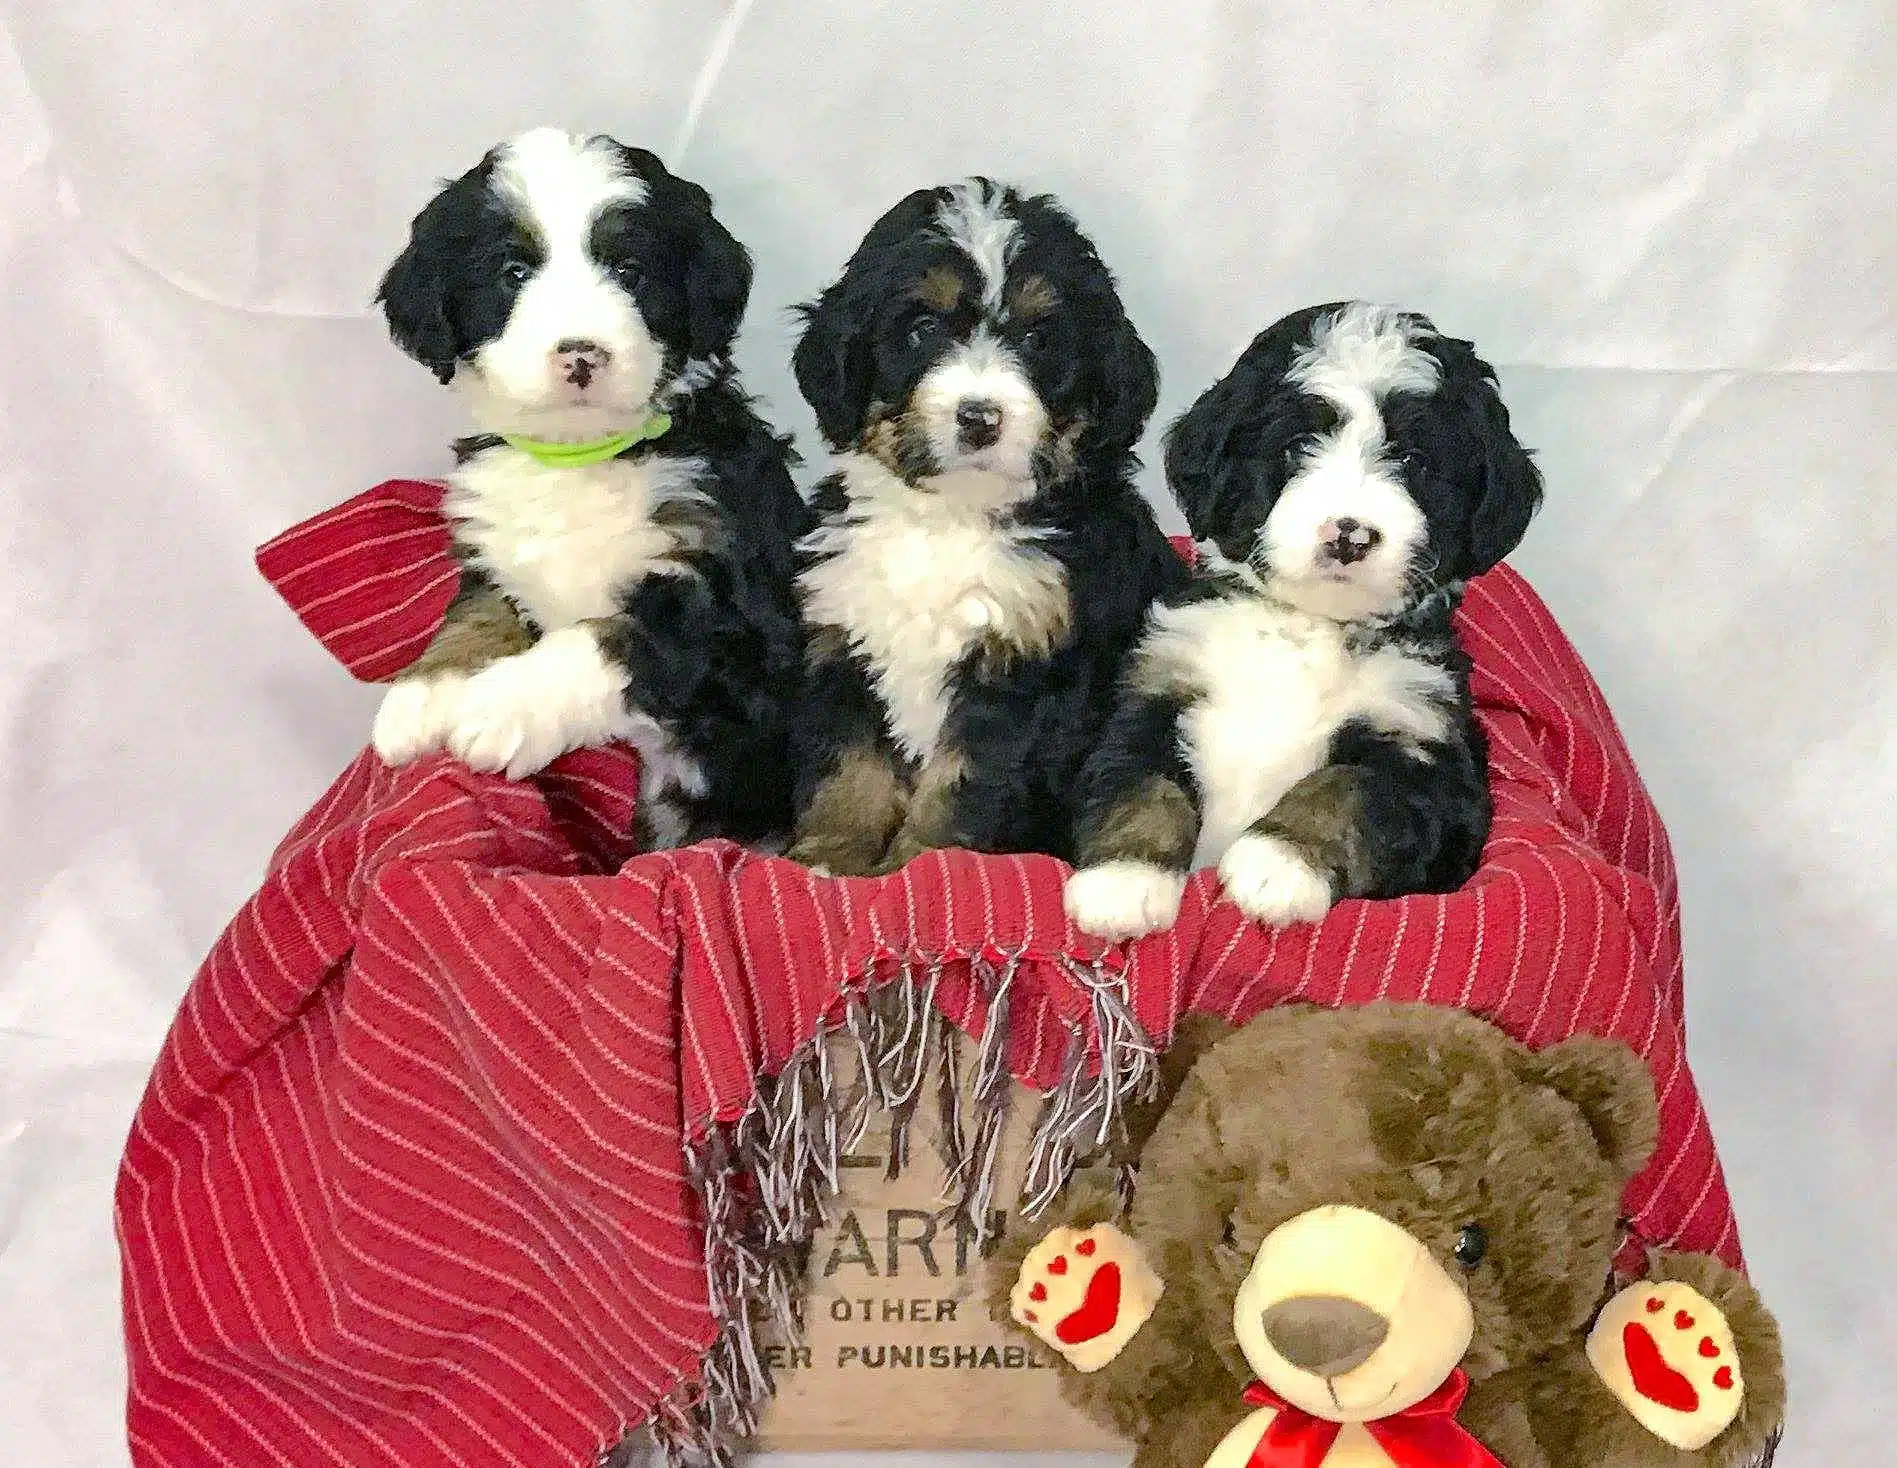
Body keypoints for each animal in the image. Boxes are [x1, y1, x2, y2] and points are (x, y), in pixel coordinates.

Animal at [371, 130, 815, 845]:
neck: (580, 458)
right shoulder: (497, 551)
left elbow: (602, 637)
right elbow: (474, 610)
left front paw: (499, 706)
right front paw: (427, 692)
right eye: (513, 272)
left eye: (630, 271)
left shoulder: (725, 606)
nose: (582, 355)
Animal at [785, 179, 1183, 880]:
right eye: (921, 331)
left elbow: (961, 786)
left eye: (1037, 339)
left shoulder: (1021, 673)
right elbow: (848, 770)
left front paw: (920, 867)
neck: (949, 518)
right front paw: (828, 861)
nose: (979, 417)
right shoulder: (844, 645)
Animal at [1069, 303, 1540, 936]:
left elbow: (1345, 790)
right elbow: (1141, 781)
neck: (1307, 628)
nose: (1350, 535)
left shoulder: (1418, 749)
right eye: (1296, 447)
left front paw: (1277, 866)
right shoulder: (1156, 692)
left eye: (1414, 460)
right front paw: (1121, 880)